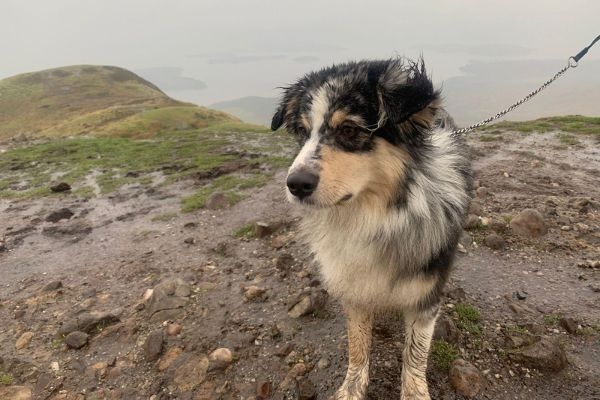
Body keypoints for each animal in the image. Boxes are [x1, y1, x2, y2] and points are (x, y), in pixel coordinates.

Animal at [272, 57, 474, 398]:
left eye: (349, 129)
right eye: (301, 131)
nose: (296, 185)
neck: (374, 215)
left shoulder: (425, 296)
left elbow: (415, 354)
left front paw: (414, 392)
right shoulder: (353, 286)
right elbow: (357, 345)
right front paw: (351, 389)